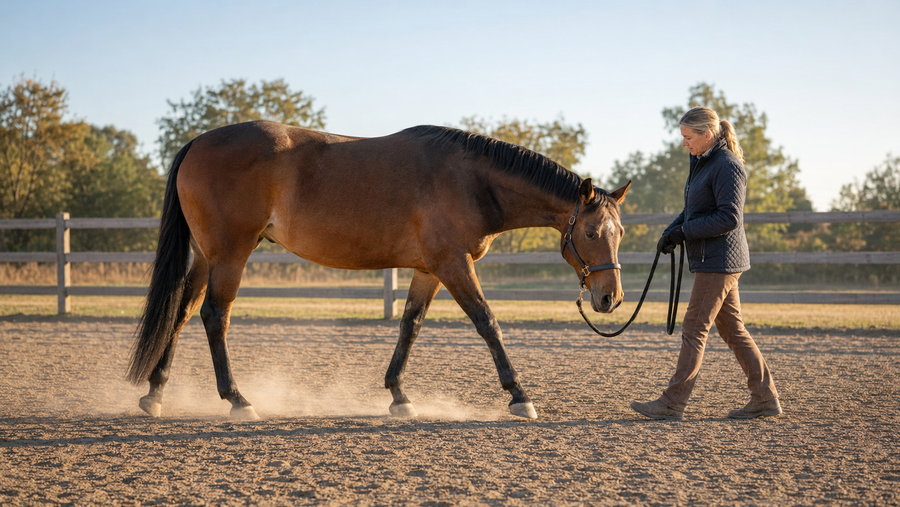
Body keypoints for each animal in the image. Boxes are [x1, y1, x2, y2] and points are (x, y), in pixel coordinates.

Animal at [127, 121, 631, 420]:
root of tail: (198, 142)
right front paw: (519, 396)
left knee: (182, 313)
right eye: (591, 232)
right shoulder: (453, 264)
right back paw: (237, 400)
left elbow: (410, 325)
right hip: (230, 255)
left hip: (207, 257)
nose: (610, 298)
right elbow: (488, 322)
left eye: (620, 232)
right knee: (215, 316)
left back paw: (155, 394)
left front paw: (398, 396)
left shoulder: (429, 270)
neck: (470, 179)